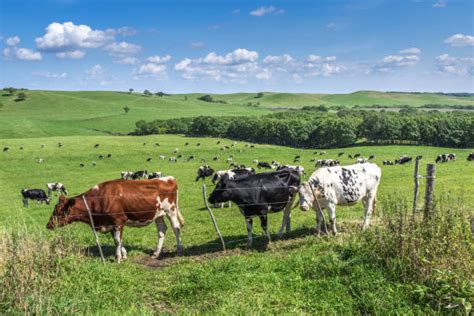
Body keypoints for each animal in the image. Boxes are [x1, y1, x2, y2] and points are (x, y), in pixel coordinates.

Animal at [45, 178, 183, 262]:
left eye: (59, 210)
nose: (48, 225)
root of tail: (169, 179)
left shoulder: (118, 221)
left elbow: (117, 241)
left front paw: (118, 258)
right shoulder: (111, 223)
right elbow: (118, 240)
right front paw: (124, 255)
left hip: (171, 210)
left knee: (176, 228)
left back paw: (179, 249)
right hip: (158, 214)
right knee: (162, 230)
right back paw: (156, 253)